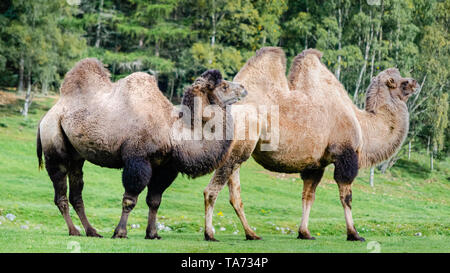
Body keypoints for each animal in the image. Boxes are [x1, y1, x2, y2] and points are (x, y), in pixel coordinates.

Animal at [37, 58, 248, 238]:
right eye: (224, 86)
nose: (244, 88)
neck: (173, 132)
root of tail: (47, 116)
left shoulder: (165, 166)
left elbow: (154, 200)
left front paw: (152, 234)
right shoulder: (138, 159)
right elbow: (130, 199)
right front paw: (120, 232)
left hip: (76, 156)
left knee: (76, 191)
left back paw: (92, 231)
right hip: (53, 142)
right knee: (60, 191)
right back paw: (74, 231)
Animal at [204, 46, 418, 240]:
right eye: (403, 82)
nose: (415, 82)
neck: (363, 124)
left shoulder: (316, 164)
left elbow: (308, 197)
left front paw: (304, 232)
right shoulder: (345, 155)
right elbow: (346, 197)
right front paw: (354, 234)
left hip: (239, 150)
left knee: (235, 194)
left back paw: (251, 234)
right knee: (212, 190)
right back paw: (210, 234)